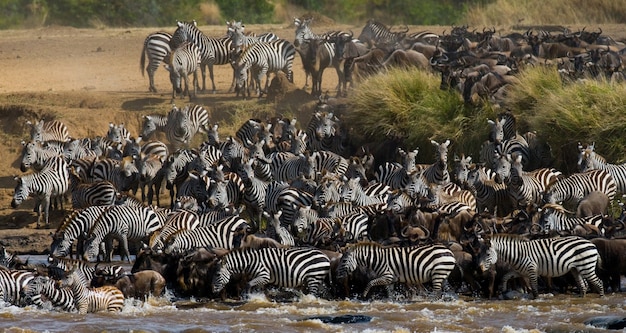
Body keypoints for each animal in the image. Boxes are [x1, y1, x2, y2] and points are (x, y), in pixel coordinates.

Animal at [476, 232, 604, 296]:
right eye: (479, 253)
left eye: (487, 254)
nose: (479, 269)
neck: (517, 254)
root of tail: (592, 244)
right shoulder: (520, 271)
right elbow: (505, 277)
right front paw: (503, 289)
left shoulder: (532, 270)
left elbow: (534, 289)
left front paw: (536, 299)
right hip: (576, 269)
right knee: (583, 286)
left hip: (587, 267)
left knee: (599, 282)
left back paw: (601, 298)